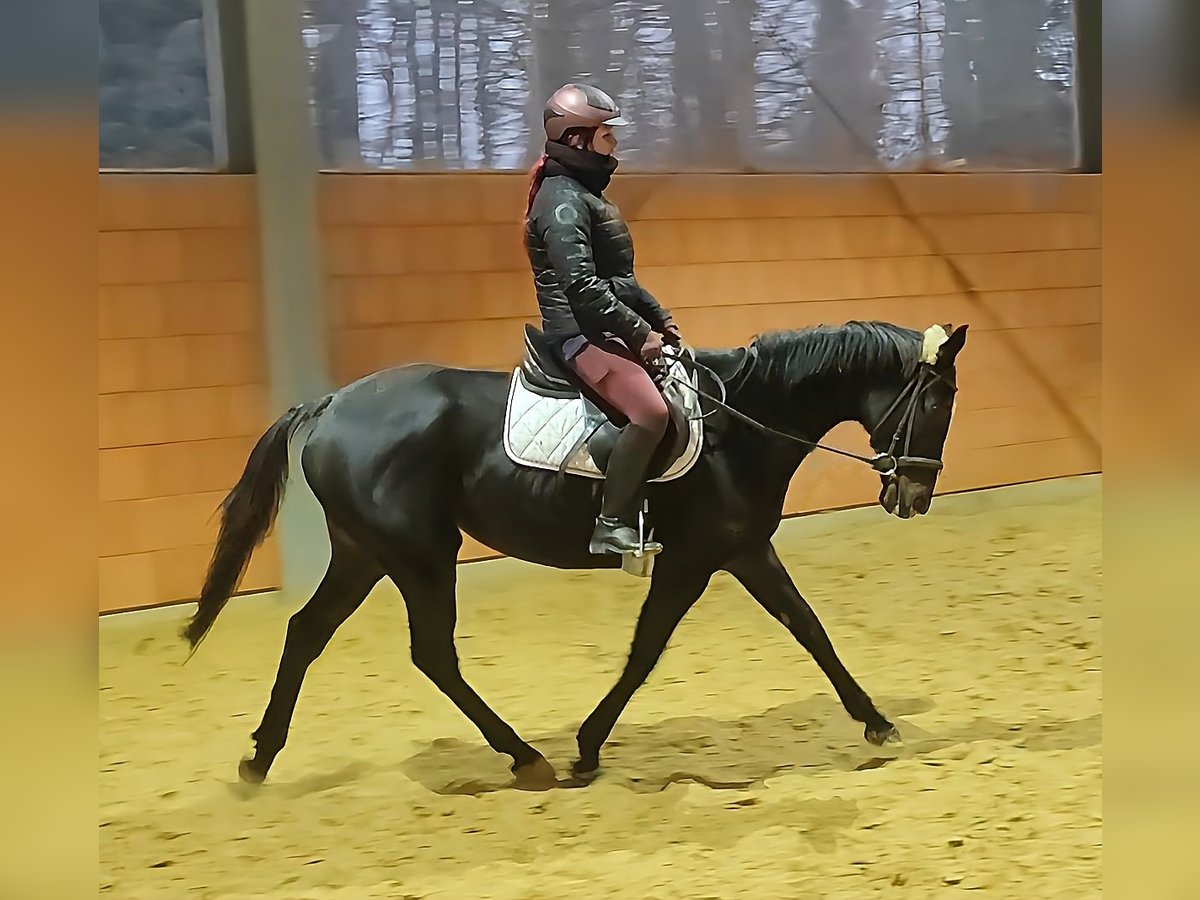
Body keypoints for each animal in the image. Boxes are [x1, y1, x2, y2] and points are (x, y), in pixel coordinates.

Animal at [182, 319, 964, 787]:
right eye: (935, 403)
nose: (916, 496)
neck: (740, 425)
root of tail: (332, 404)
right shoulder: (695, 559)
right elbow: (647, 650)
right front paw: (586, 748)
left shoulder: (744, 550)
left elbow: (809, 628)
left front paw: (875, 720)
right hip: (418, 554)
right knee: (431, 653)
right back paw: (525, 758)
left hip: (364, 552)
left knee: (308, 632)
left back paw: (260, 758)